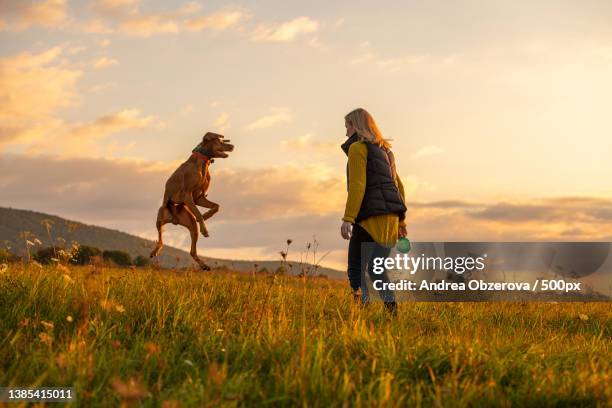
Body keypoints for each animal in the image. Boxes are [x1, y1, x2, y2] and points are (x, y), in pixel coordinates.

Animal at [150, 132, 234, 270]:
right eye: (219, 141)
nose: (232, 146)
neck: (202, 162)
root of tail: (174, 219)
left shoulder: (199, 198)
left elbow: (216, 206)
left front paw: (206, 216)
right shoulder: (187, 196)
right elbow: (198, 213)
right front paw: (204, 227)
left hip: (191, 224)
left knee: (192, 251)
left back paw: (204, 265)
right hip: (161, 215)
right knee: (160, 239)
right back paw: (155, 251)